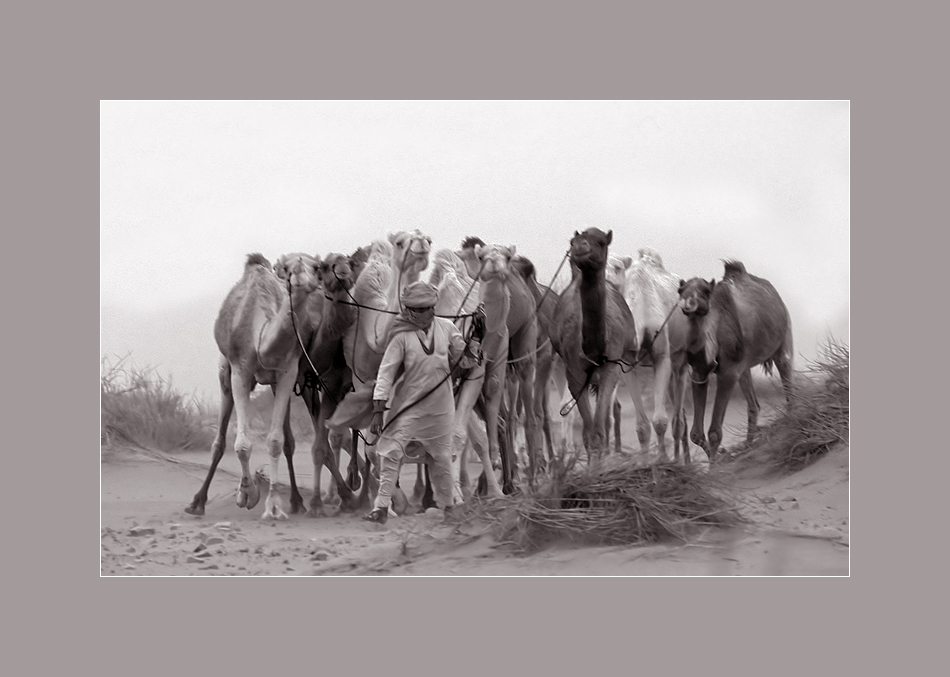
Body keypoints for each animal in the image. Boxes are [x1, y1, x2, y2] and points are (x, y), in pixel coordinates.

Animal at [188, 251, 326, 520]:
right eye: (285, 268)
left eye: (316, 267)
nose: (301, 279)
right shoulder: (240, 371)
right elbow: (241, 445)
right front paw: (247, 494)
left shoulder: (287, 372)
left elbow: (275, 442)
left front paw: (273, 506)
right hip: (225, 374)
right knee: (219, 441)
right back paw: (197, 502)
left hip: (289, 380)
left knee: (290, 441)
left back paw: (297, 501)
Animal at [462, 239, 544, 492]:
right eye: (481, 257)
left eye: (506, 257)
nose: (494, 262)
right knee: (507, 418)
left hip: (526, 343)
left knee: (527, 416)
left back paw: (530, 477)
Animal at [552, 227, 640, 460]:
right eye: (572, 241)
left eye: (601, 241)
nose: (580, 247)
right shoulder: (573, 371)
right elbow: (587, 433)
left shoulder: (611, 366)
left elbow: (598, 430)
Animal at [608, 250, 692, 464]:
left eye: (617, 267)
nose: (607, 281)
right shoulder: (627, 362)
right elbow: (642, 426)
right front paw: (646, 463)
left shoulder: (662, 357)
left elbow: (660, 421)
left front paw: (662, 460)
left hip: (680, 360)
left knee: (679, 419)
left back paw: (682, 461)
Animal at [680, 258, 800, 460]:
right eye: (680, 290)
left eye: (705, 291)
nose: (687, 303)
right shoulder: (699, 371)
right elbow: (695, 434)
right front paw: (721, 455)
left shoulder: (728, 372)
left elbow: (715, 432)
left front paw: (715, 464)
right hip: (744, 365)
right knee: (754, 404)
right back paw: (748, 444)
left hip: (784, 339)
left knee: (787, 382)